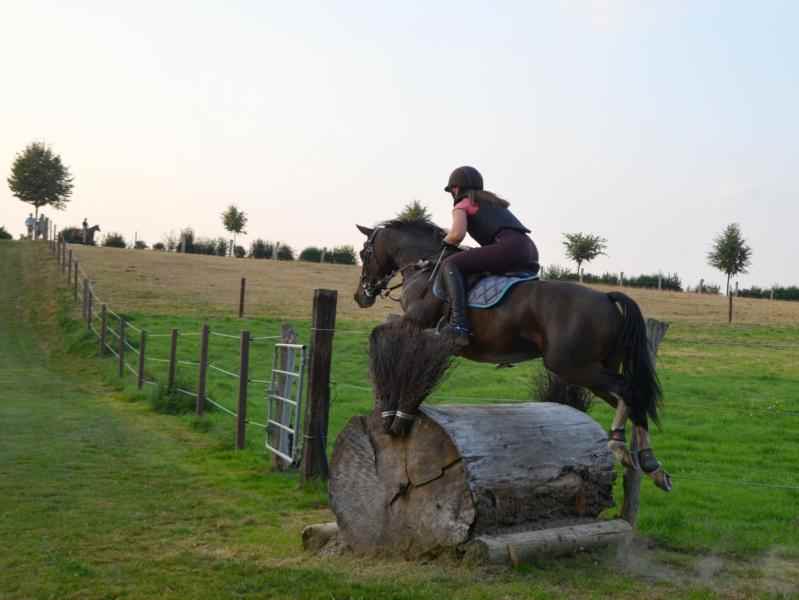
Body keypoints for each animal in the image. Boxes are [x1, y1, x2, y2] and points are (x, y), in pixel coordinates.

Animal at [354, 218, 672, 492]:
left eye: (363, 253)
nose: (361, 296)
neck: (425, 267)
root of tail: (606, 297)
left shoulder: (416, 323)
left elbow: (378, 335)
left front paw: (392, 412)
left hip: (571, 365)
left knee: (627, 389)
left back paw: (621, 447)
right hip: (591, 370)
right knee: (632, 397)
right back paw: (650, 463)